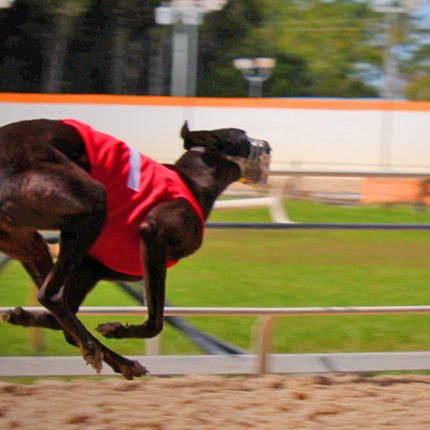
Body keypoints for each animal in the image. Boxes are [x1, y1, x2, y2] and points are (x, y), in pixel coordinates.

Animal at [0, 119, 270, 378]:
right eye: (244, 136)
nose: (268, 144)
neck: (193, 181)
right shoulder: (153, 234)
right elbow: (156, 322)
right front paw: (115, 329)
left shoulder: (91, 267)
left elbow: (57, 320)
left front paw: (24, 316)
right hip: (90, 199)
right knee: (49, 294)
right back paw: (94, 349)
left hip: (30, 240)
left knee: (54, 300)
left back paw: (121, 362)